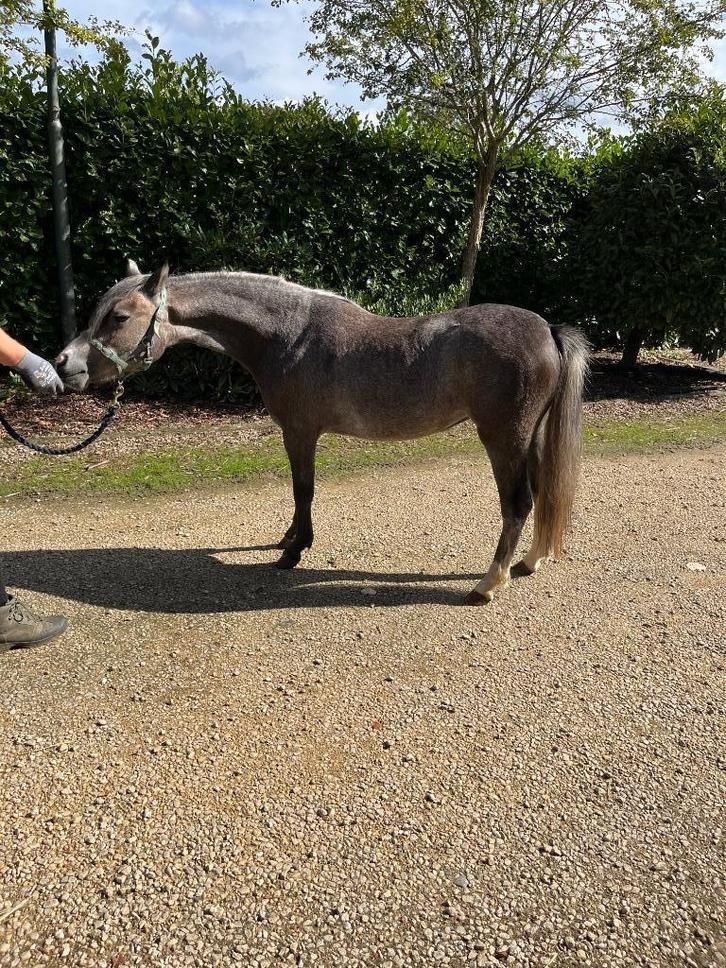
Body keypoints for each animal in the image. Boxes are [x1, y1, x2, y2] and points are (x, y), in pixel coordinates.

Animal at [56, 261, 589, 605]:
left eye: (119, 317)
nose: (65, 365)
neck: (289, 335)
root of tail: (548, 330)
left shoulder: (300, 432)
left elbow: (303, 489)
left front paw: (293, 552)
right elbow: (299, 494)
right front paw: (287, 540)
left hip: (504, 439)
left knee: (517, 503)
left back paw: (488, 584)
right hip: (529, 437)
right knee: (542, 493)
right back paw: (528, 563)